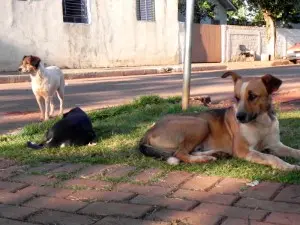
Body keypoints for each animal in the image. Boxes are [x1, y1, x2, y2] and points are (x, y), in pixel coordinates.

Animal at [139, 72, 300, 171]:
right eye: (236, 98)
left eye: (253, 96)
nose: (239, 117)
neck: (261, 122)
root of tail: (150, 130)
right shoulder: (243, 150)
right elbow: (271, 157)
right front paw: (288, 166)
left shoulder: (275, 145)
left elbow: (294, 151)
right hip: (199, 124)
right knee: (180, 153)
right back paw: (205, 159)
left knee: (189, 151)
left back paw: (216, 154)